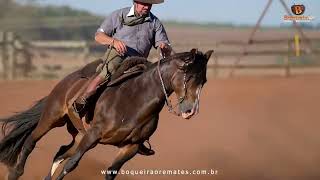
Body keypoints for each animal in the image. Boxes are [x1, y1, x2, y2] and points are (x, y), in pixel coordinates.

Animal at [0, 48, 214, 179]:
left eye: (203, 81)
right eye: (189, 76)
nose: (190, 111)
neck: (134, 99)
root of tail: (69, 80)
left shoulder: (131, 147)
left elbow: (110, 172)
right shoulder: (94, 135)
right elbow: (71, 165)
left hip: (79, 136)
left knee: (60, 153)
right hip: (53, 117)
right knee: (31, 142)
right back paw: (15, 173)